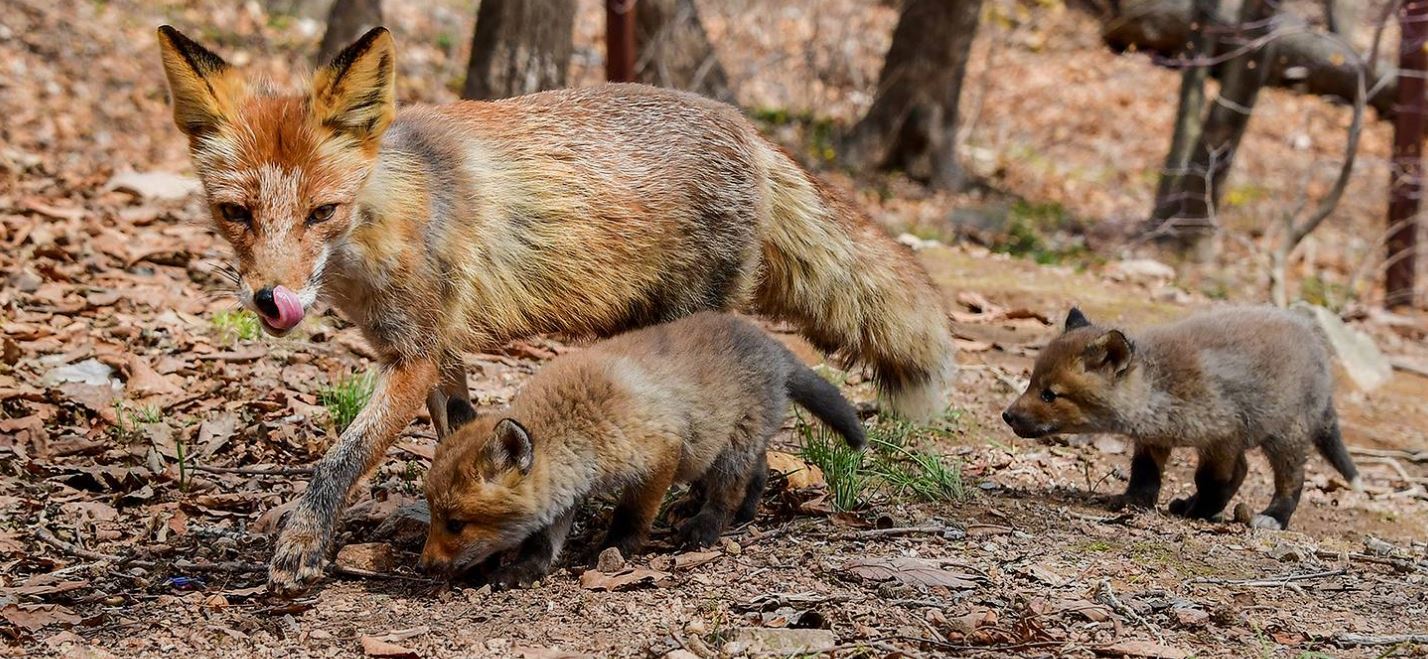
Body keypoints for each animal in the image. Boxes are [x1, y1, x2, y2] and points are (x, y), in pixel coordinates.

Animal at [156, 24, 953, 591]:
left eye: (322, 212)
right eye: (234, 213)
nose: (274, 301)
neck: (388, 218)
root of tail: (750, 130)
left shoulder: (412, 356)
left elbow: (341, 457)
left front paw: (301, 544)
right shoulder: (437, 350)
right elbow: (457, 432)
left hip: (682, 319)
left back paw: (707, 515)